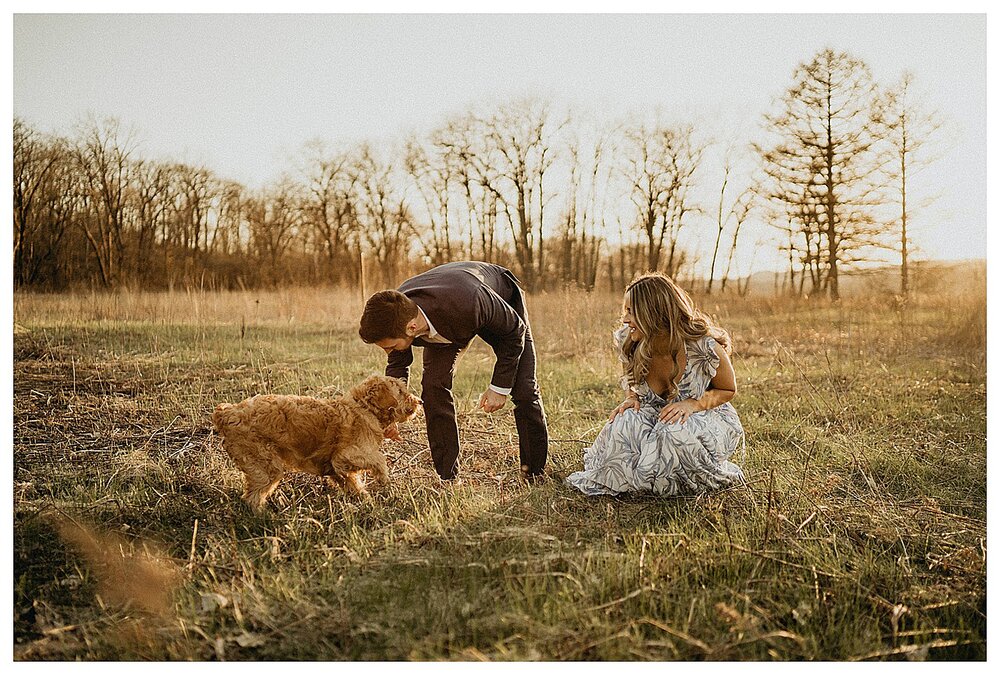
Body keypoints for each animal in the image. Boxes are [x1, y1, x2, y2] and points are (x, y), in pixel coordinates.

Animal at [213, 374, 420, 512]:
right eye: (401, 392)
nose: (419, 401)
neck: (364, 407)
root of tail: (227, 413)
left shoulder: (339, 470)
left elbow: (355, 485)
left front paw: (367, 502)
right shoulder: (345, 456)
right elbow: (379, 459)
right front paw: (383, 479)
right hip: (266, 467)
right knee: (252, 498)